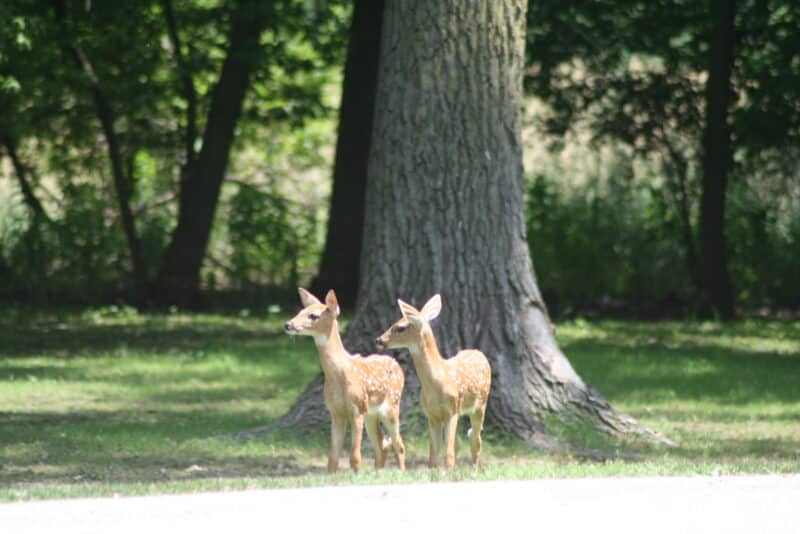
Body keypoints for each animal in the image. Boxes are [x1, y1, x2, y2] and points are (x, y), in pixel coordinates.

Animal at [284, 292, 406, 476]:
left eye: (314, 315)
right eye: (300, 311)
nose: (287, 324)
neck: (340, 375)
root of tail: (398, 365)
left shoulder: (356, 409)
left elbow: (355, 457)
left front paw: (356, 476)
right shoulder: (335, 412)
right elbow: (332, 457)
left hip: (391, 406)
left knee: (399, 445)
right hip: (371, 414)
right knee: (382, 445)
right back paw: (378, 474)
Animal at [376, 296, 494, 472]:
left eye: (400, 327)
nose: (379, 340)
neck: (436, 383)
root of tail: (479, 353)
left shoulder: (452, 410)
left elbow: (448, 453)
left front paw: (449, 471)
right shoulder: (432, 415)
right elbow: (433, 456)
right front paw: (436, 472)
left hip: (480, 405)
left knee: (476, 439)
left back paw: (474, 469)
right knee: (461, 443)